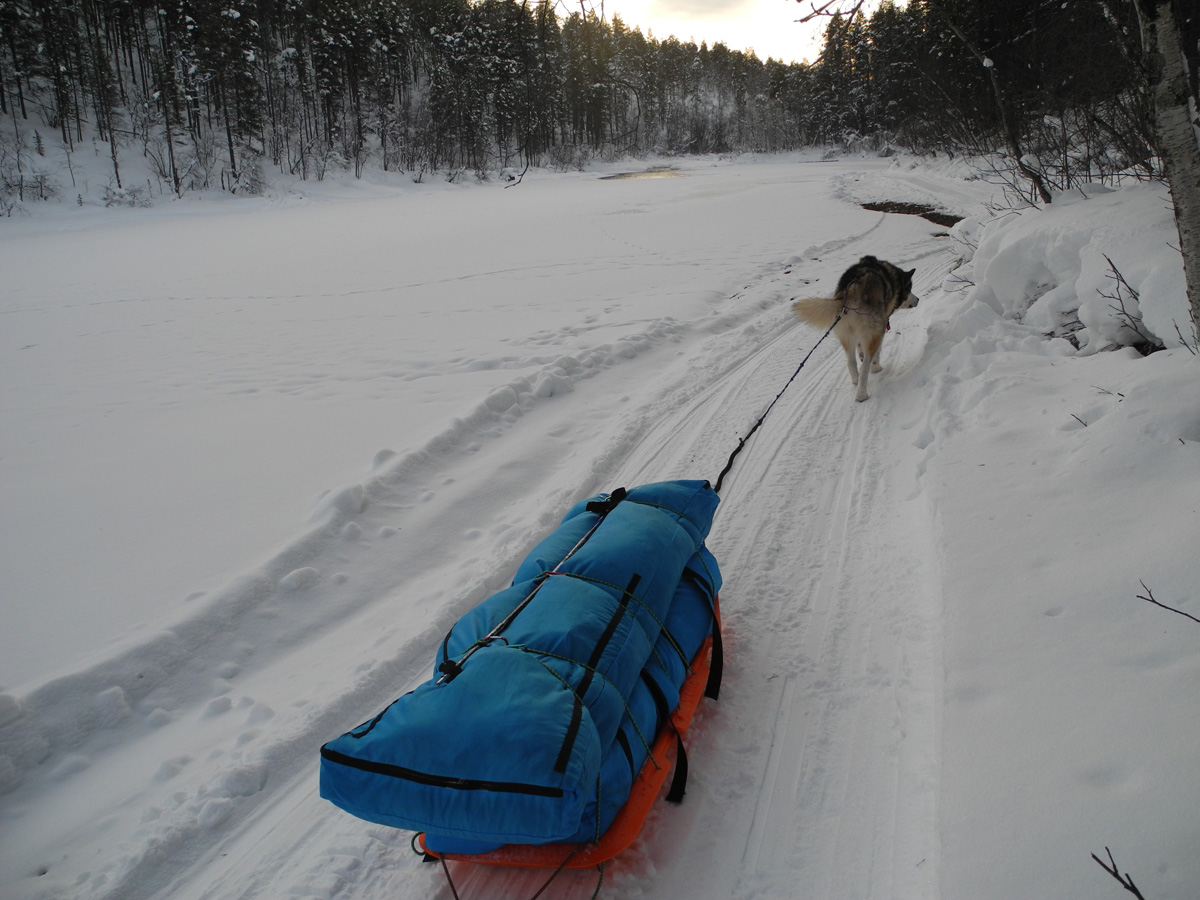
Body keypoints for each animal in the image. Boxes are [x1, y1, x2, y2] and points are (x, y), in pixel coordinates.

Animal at [796, 259, 916, 403]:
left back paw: (856, 381)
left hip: (847, 336)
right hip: (874, 332)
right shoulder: (878, 331)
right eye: (909, 289)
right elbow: (876, 354)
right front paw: (876, 368)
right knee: (865, 367)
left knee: (851, 363)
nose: (917, 299)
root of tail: (852, 290)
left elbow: (859, 351)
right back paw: (862, 394)